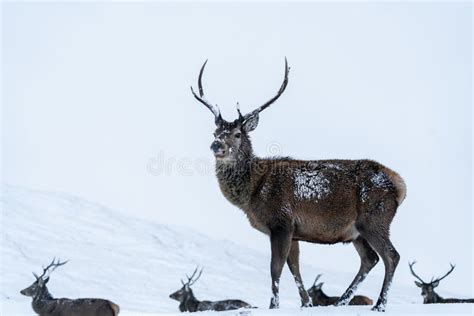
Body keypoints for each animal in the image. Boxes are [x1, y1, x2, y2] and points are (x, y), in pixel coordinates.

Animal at [191, 58, 406, 312]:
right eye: (215, 131)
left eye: (236, 134)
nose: (216, 145)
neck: (251, 193)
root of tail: (399, 185)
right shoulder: (294, 231)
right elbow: (295, 268)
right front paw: (307, 304)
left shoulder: (281, 222)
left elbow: (275, 268)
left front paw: (273, 305)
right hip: (357, 232)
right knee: (369, 259)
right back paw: (341, 302)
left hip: (375, 219)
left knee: (391, 256)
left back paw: (379, 305)